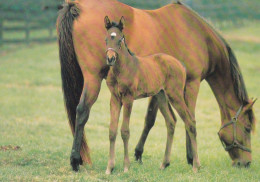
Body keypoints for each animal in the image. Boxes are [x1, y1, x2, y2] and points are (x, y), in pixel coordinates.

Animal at [57, 0, 256, 171]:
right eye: (247, 128)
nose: (245, 163)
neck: (197, 35)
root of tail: (77, 6)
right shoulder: (192, 83)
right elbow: (188, 117)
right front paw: (191, 157)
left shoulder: (158, 88)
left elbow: (151, 118)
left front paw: (139, 154)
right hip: (94, 78)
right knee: (82, 111)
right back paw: (75, 160)